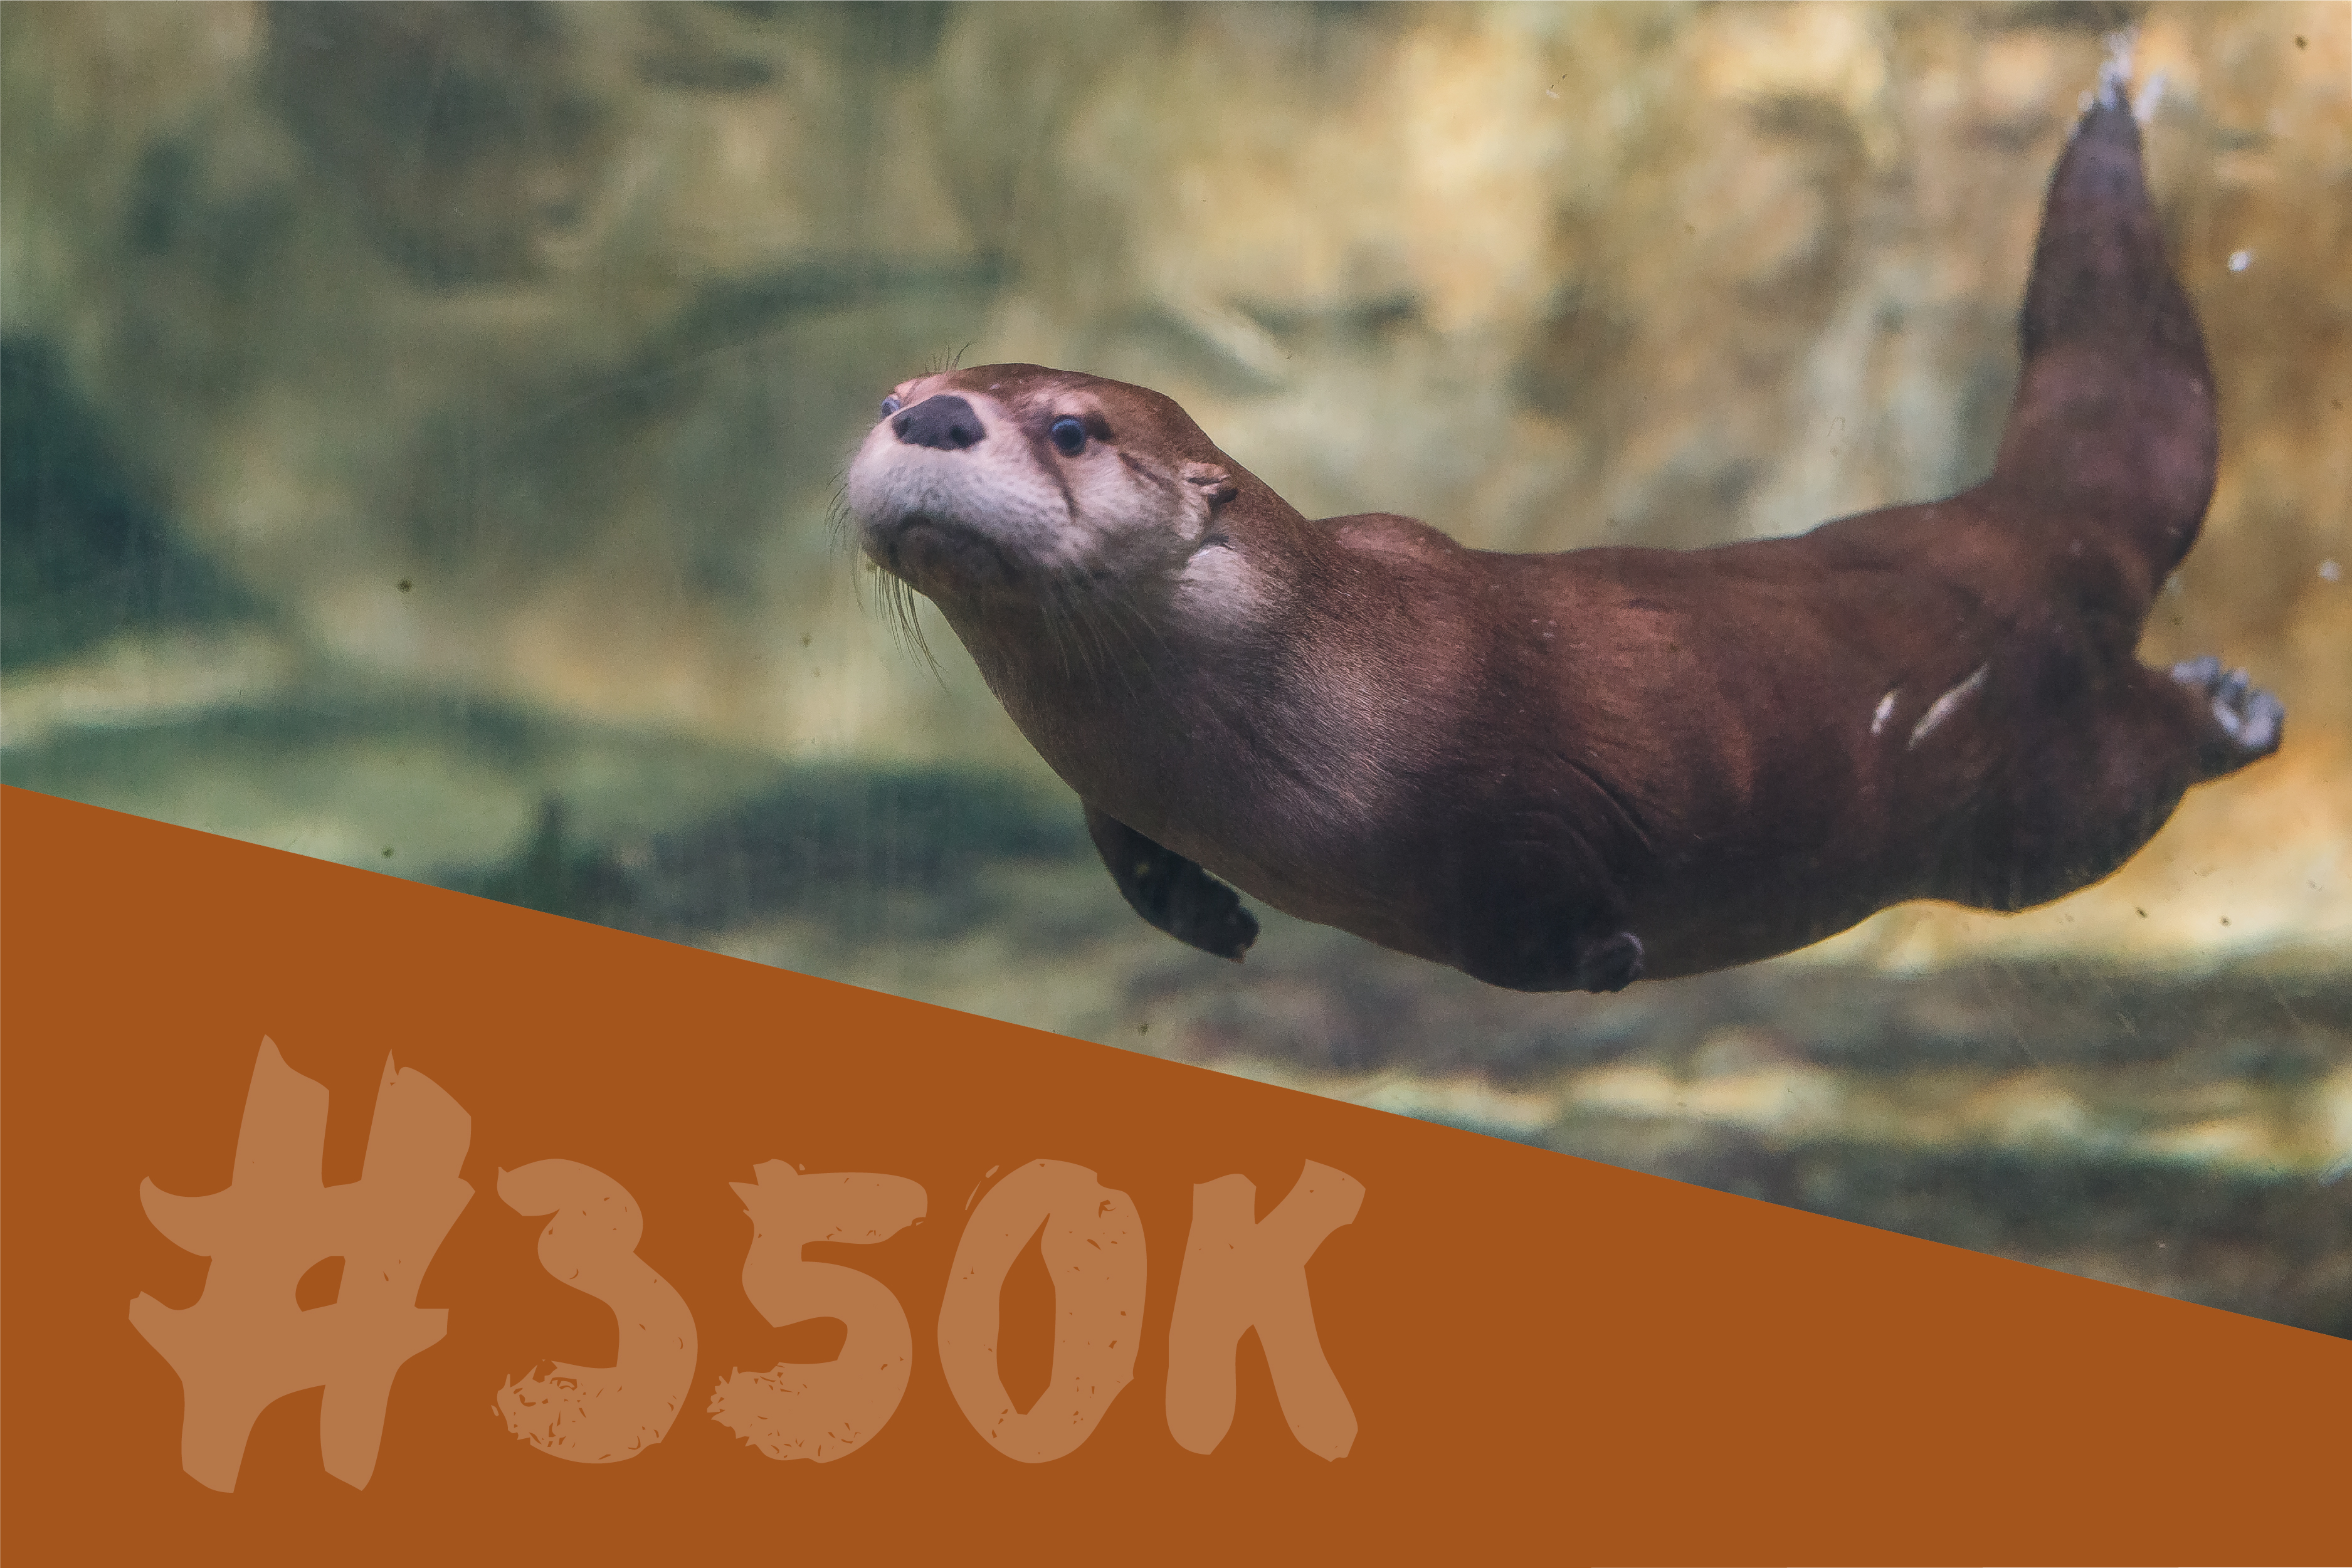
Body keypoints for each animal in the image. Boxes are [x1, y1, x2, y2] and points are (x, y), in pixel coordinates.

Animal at [843, 67, 2282, 993]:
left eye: (1072, 429)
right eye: (893, 393)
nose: (938, 419)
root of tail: (2009, 532)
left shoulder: (1500, 778)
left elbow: (1533, 896)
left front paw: (1603, 956)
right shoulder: (1121, 778)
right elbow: (1119, 846)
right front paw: (1201, 911)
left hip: (2033, 798)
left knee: (2130, 765)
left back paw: (2237, 706)